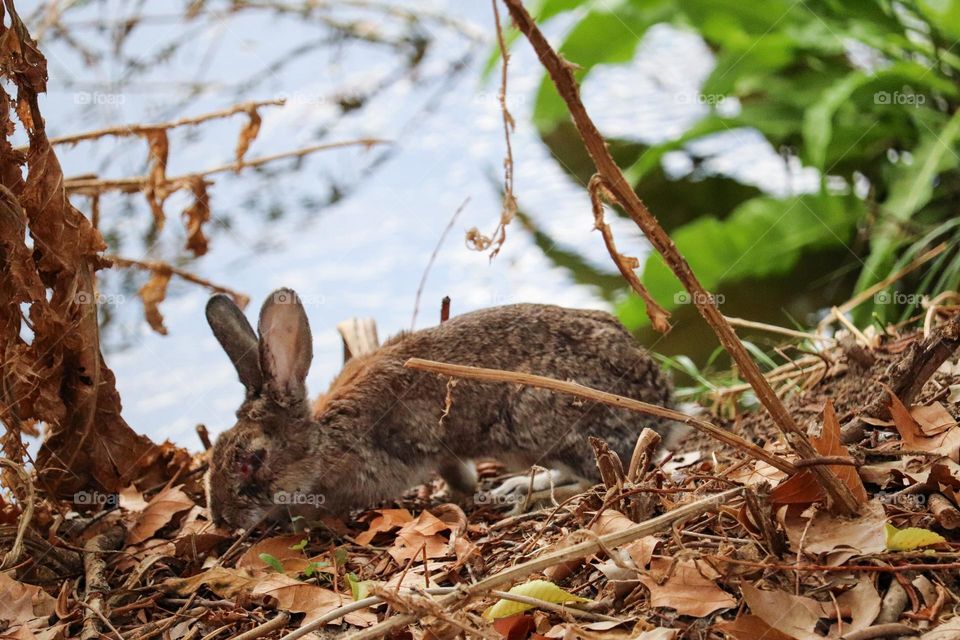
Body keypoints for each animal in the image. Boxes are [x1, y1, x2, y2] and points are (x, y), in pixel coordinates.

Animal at [204, 288, 677, 529]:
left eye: (252, 460)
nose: (222, 520)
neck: (324, 444)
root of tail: (662, 405)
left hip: (544, 422)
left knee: (592, 478)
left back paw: (522, 494)